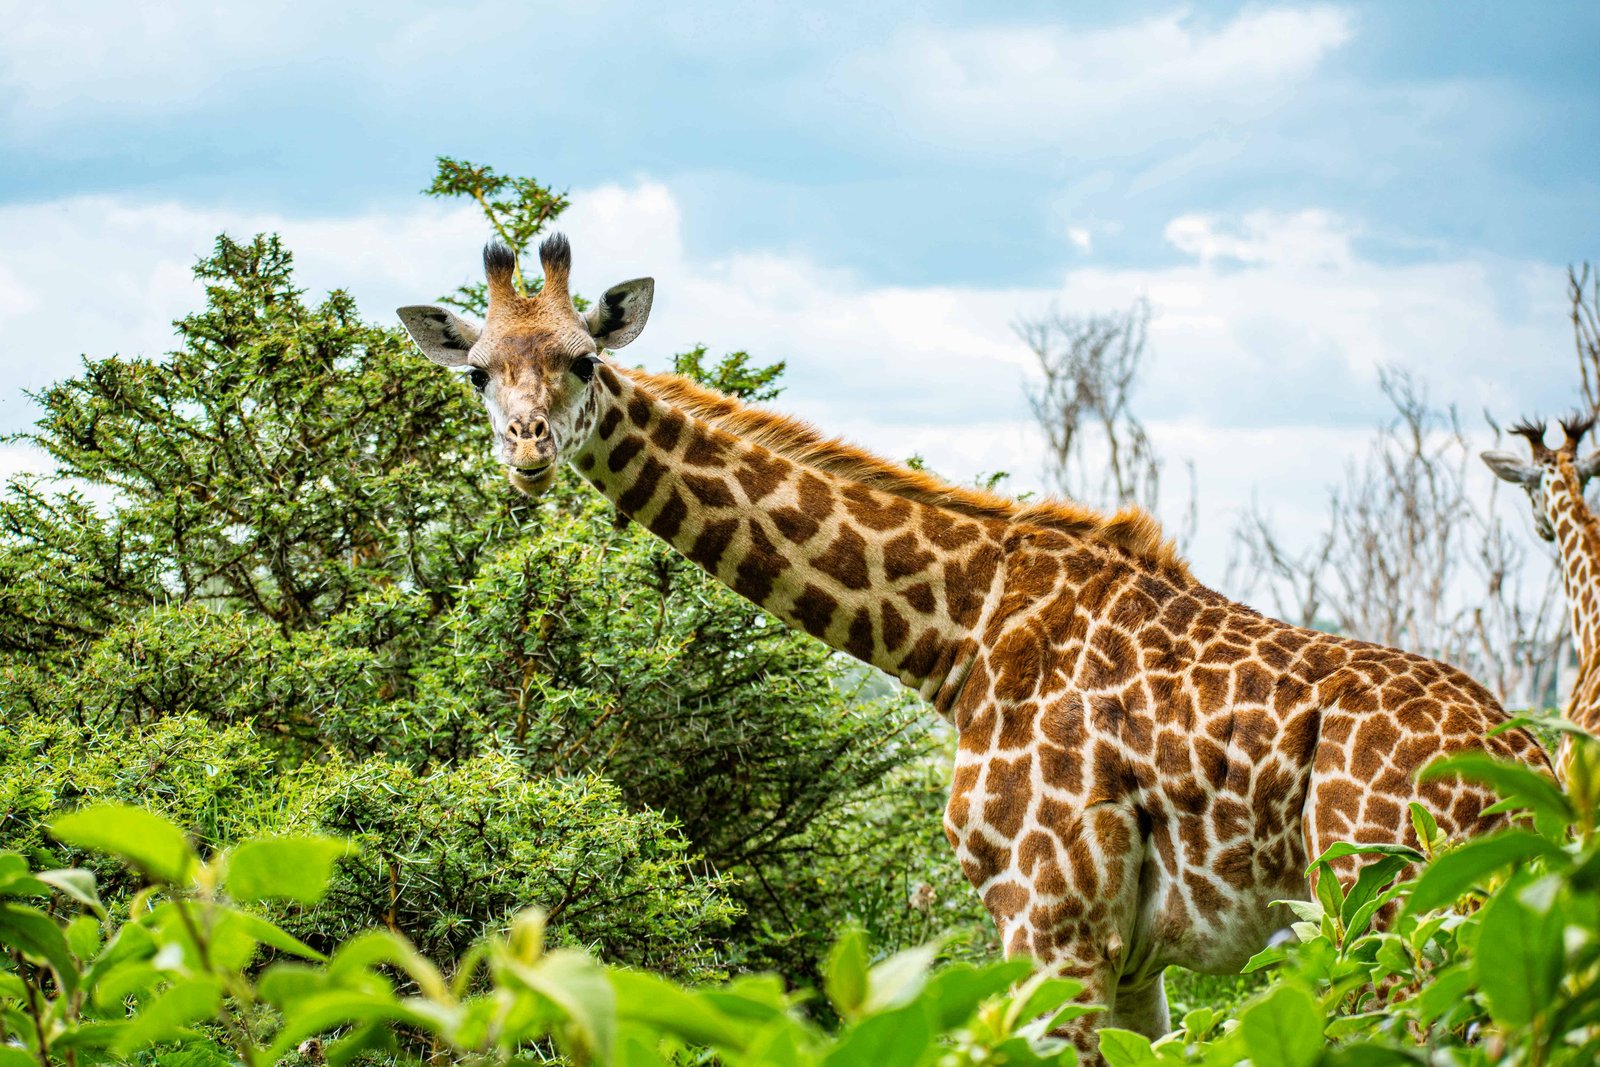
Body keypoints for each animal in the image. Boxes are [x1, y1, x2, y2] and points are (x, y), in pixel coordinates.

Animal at [400, 236, 1551, 1060]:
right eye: (479, 374)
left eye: (584, 357)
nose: (528, 452)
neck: (953, 629)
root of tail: (1532, 775)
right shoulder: (1129, 956)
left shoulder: (1047, 914)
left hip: (1401, 913)